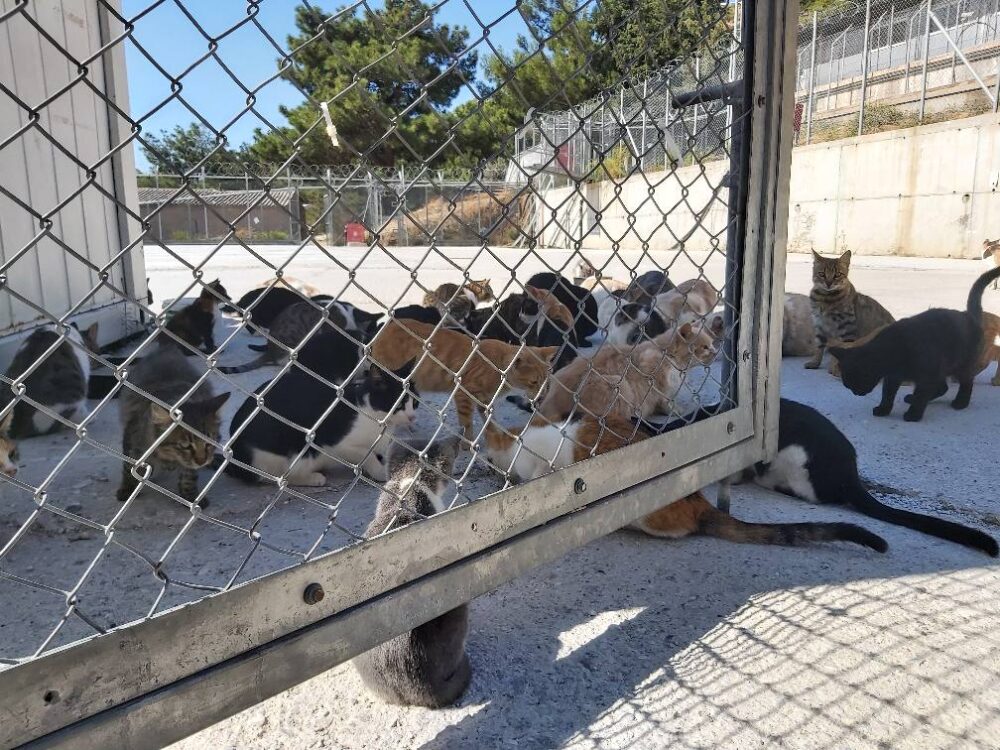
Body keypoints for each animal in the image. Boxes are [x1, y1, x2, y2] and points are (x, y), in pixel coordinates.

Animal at [117, 345, 229, 504]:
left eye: (208, 443)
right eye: (185, 446)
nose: (202, 461)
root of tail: (167, 348)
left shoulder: (189, 465)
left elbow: (189, 476)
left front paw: (190, 495)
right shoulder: (132, 436)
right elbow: (128, 468)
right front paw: (128, 488)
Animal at [224, 361, 417, 485]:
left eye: (414, 403)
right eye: (399, 404)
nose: (412, 417)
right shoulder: (335, 443)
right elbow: (365, 455)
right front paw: (381, 473)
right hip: (291, 446)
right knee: (277, 477)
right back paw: (313, 478)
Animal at [369, 319, 558, 443]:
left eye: (545, 383)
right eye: (534, 382)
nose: (542, 396)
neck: (498, 368)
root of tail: (383, 331)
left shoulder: (484, 399)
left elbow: (489, 418)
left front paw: (494, 434)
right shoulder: (463, 392)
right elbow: (466, 422)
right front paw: (468, 443)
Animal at [534, 322, 718, 424]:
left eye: (712, 344)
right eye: (705, 347)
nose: (716, 352)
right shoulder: (655, 376)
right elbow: (666, 400)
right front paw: (675, 410)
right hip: (618, 385)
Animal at [829, 266, 1000, 421]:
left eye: (855, 382)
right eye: (848, 385)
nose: (856, 393)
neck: (891, 350)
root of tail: (970, 316)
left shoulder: (926, 374)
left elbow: (921, 394)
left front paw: (913, 414)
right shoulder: (894, 376)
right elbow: (887, 394)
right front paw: (883, 409)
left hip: (961, 364)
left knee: (966, 382)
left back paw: (960, 403)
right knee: (942, 387)